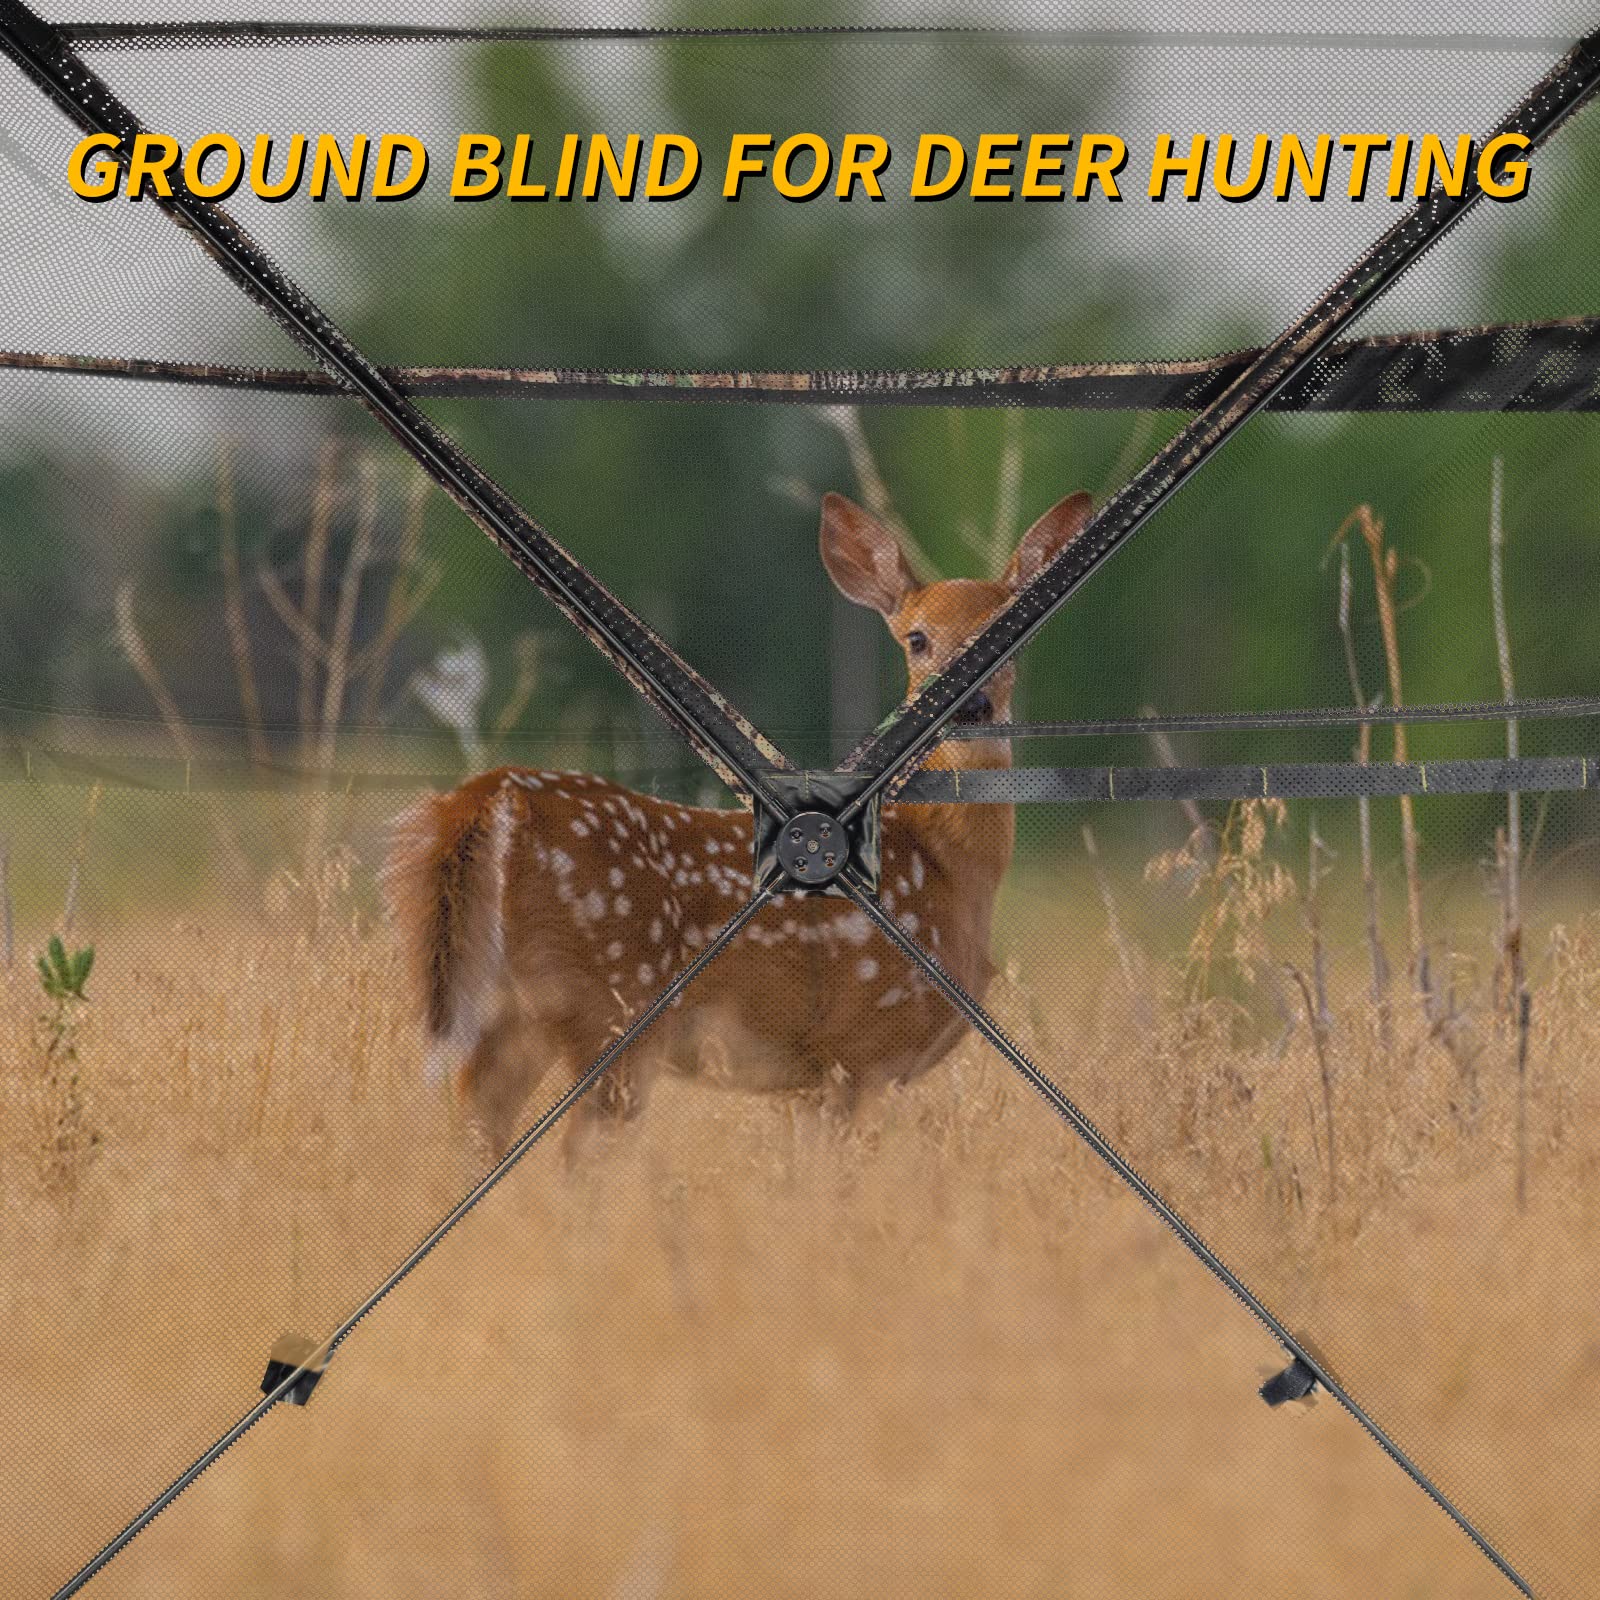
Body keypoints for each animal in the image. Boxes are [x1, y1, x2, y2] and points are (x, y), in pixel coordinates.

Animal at [383, 488, 1092, 1160]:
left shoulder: (807, 1082)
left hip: (506, 1008)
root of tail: (485, 797)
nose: (973, 705)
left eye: (1013, 635)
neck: (949, 870)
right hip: (610, 1006)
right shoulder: (860, 1047)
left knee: (477, 1118)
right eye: (917, 639)